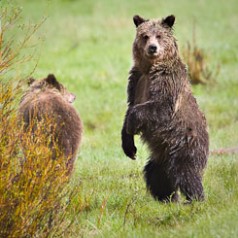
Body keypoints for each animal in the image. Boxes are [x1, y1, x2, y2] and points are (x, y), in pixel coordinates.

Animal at [122, 14, 209, 201]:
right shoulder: (136, 80)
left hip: (185, 143)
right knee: (156, 174)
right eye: (145, 36)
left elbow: (161, 106)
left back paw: (195, 199)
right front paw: (129, 147)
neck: (150, 68)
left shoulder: (167, 79)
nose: (153, 48)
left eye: (159, 35)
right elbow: (129, 107)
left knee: (186, 173)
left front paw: (132, 125)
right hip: (161, 155)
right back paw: (168, 198)